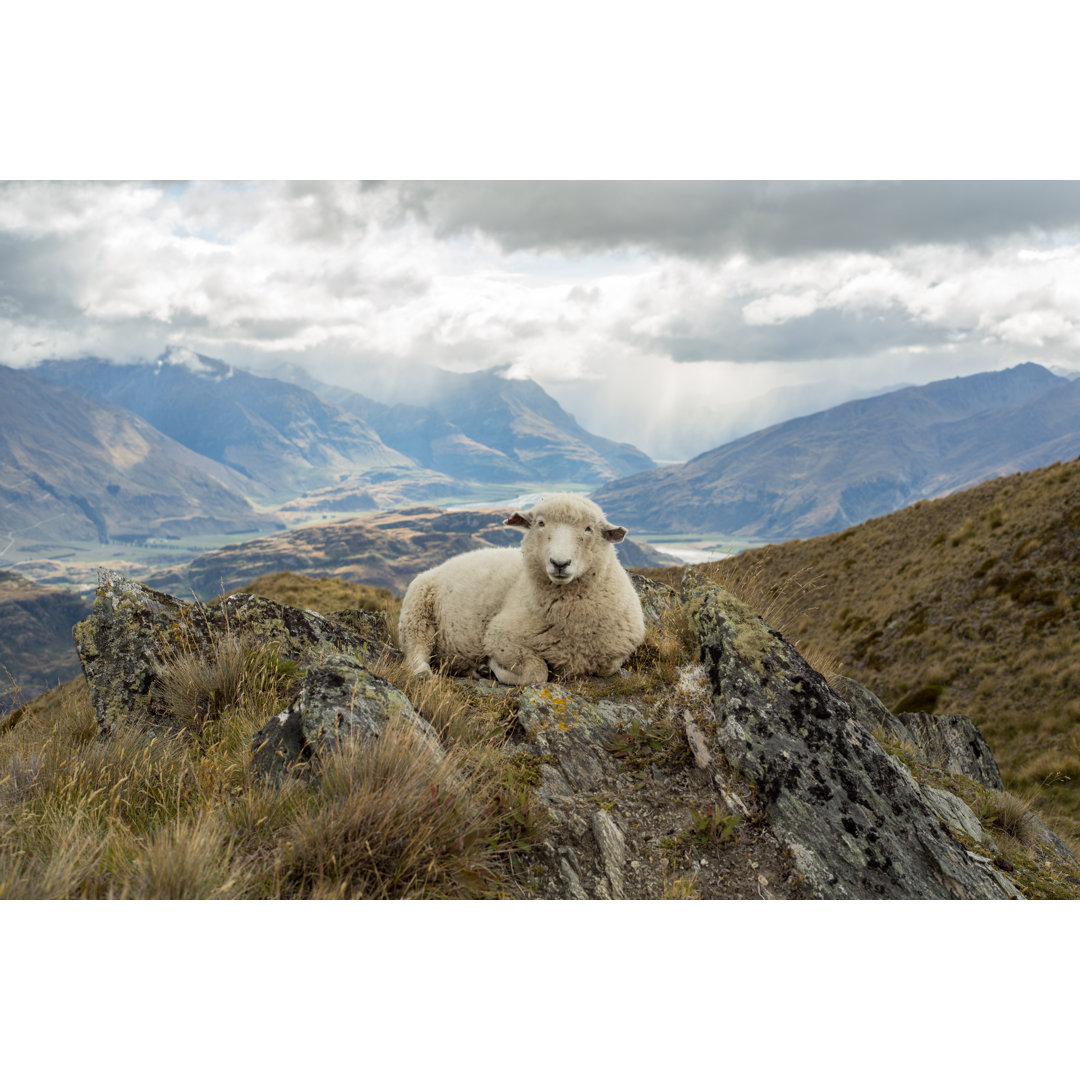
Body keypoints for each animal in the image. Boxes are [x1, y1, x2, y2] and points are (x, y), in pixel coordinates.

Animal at [401, 492, 643, 682]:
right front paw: (493, 669)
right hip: (416, 612)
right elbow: (537, 673)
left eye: (588, 529)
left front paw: (486, 669)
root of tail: (443, 564)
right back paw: (424, 672)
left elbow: (608, 668)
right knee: (417, 648)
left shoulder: (616, 653)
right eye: (540, 523)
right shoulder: (500, 637)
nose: (560, 563)